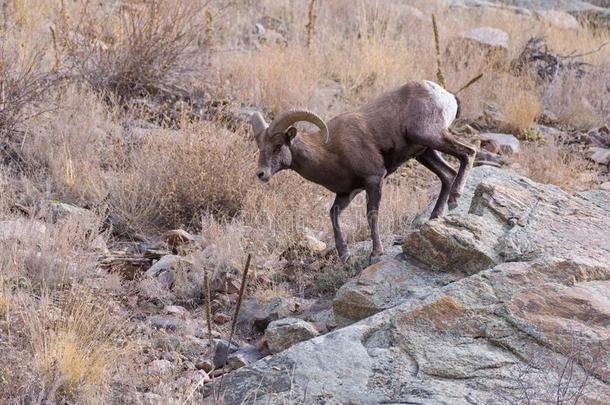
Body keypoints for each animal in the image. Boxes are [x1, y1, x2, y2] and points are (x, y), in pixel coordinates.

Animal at [248, 79, 476, 262]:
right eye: (260, 147)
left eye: (278, 146)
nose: (261, 174)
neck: (330, 151)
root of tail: (445, 95)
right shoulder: (347, 193)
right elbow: (333, 214)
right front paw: (344, 255)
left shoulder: (374, 179)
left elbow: (371, 214)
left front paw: (376, 254)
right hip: (425, 152)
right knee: (447, 174)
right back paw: (435, 218)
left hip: (429, 136)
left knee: (469, 152)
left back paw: (455, 198)